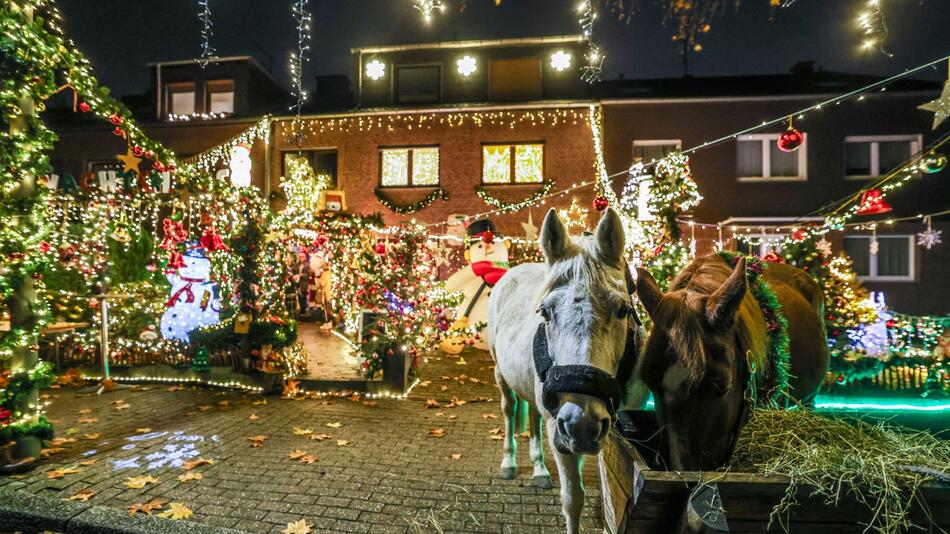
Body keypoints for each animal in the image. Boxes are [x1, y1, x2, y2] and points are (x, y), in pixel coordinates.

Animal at [490, 209, 640, 534]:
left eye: (623, 310)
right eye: (545, 312)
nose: (579, 422)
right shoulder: (560, 432)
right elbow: (573, 500)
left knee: (533, 417)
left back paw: (539, 469)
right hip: (501, 375)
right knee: (509, 410)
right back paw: (508, 464)